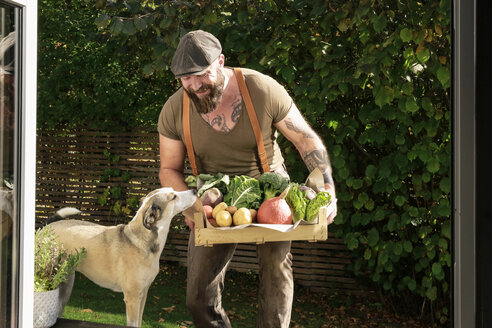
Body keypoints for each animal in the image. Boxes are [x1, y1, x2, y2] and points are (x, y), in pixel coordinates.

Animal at [47, 188, 197, 326]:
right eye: (173, 196)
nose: (195, 190)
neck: (142, 241)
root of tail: (48, 226)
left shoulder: (143, 294)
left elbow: (139, 322)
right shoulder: (132, 298)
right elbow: (133, 324)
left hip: (66, 284)